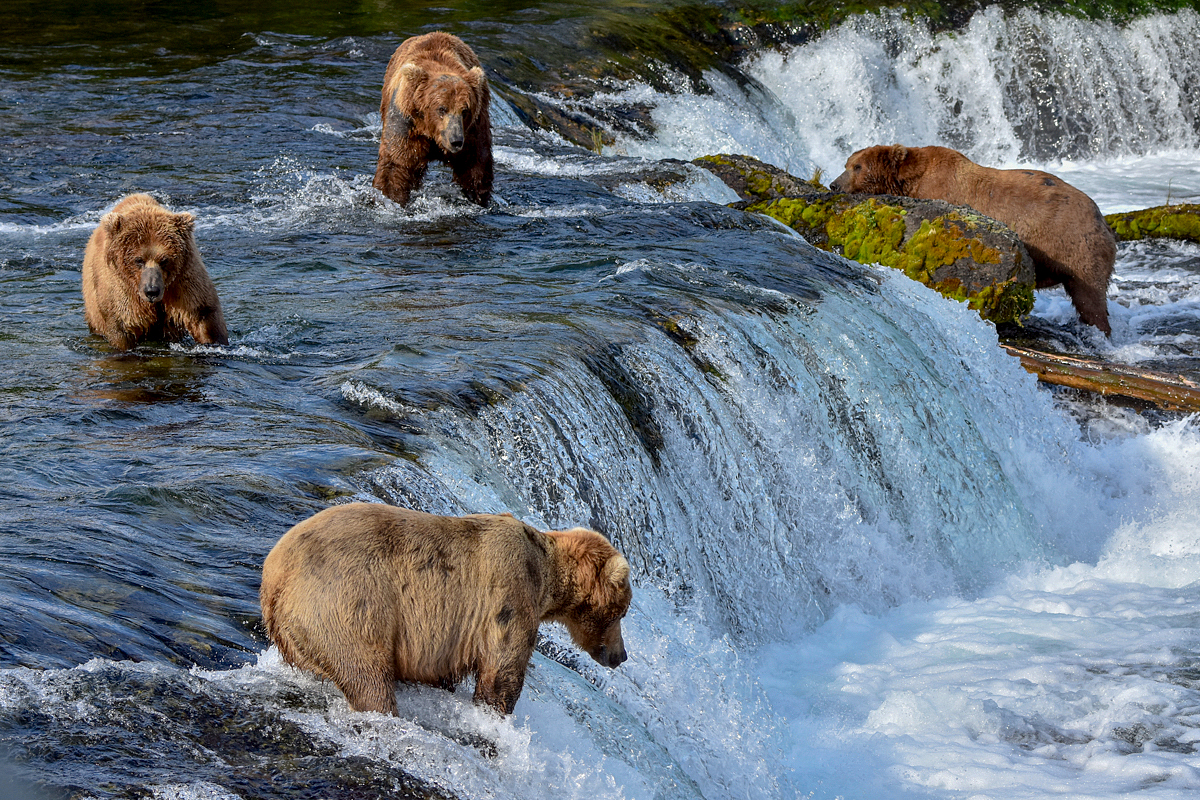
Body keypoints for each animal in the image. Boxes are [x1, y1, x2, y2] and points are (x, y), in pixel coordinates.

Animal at [81, 194, 229, 350]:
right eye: (139, 260)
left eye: (164, 260)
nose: (151, 291)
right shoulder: (121, 287)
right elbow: (123, 325)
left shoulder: (183, 279)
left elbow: (203, 313)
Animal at [260, 503, 638, 714]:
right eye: (621, 613)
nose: (620, 655)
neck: (546, 575)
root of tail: (274, 576)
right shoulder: (509, 595)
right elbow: (502, 671)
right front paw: (494, 715)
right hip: (345, 606)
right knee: (366, 676)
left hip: (301, 634)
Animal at [369, 31, 492, 208]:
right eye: (441, 109)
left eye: (465, 110)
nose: (455, 140)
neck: (432, 132)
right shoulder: (406, 121)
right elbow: (396, 164)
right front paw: (390, 197)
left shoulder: (472, 128)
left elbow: (475, 165)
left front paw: (476, 197)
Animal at [825, 143, 1113, 331]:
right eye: (847, 164)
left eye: (858, 166)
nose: (834, 184)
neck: (909, 181)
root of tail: (1102, 219)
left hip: (1076, 248)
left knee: (1090, 299)